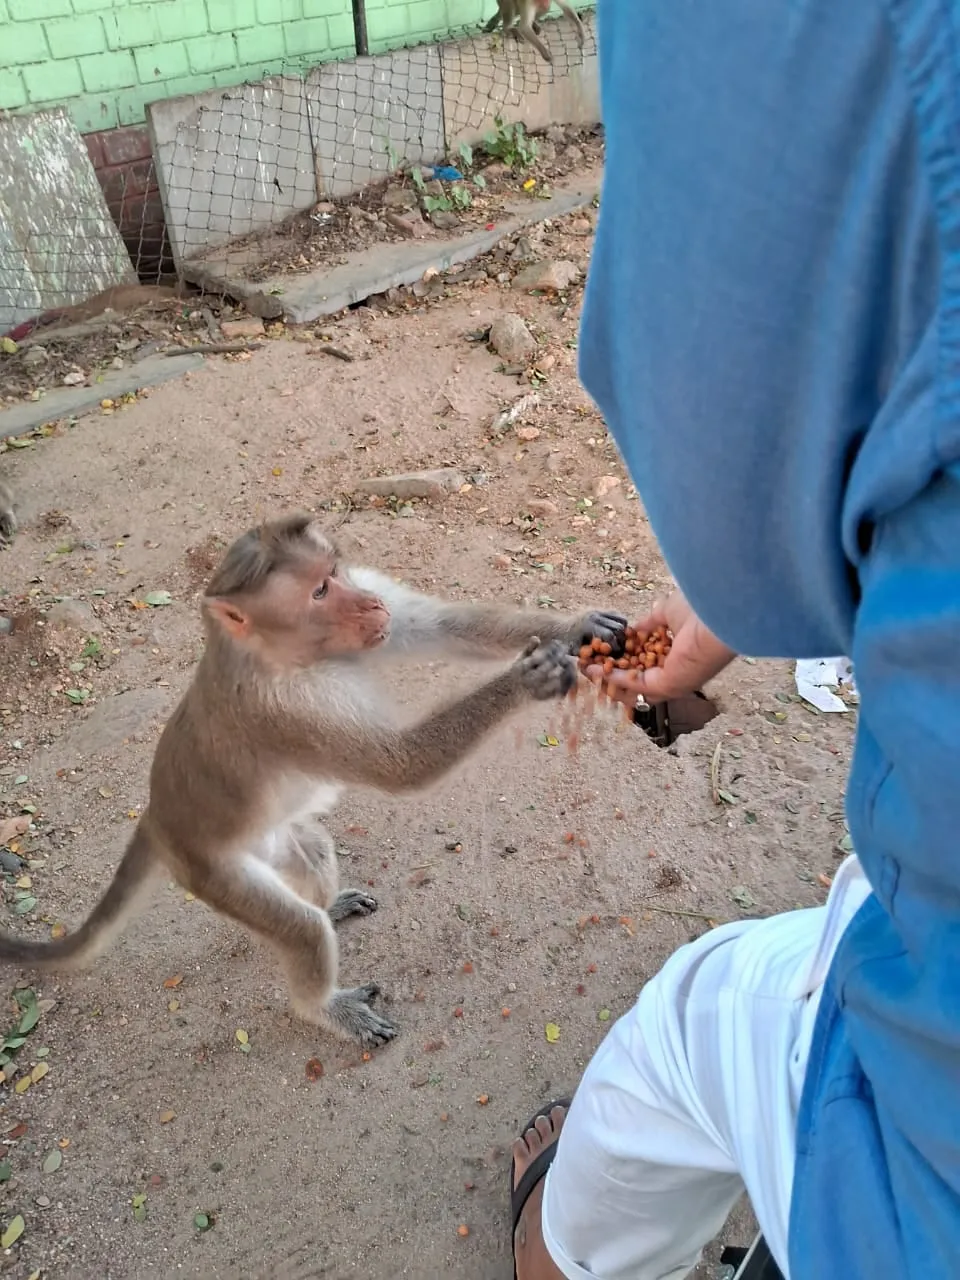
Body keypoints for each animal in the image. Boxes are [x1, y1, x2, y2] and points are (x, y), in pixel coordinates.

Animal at [0, 514, 625, 1048]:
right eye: (319, 593)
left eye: (336, 573)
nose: (369, 602)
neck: (278, 656)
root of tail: (157, 813)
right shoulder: (290, 711)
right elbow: (401, 765)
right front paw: (528, 680)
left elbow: (445, 628)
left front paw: (577, 626)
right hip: (210, 871)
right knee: (298, 929)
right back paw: (324, 1006)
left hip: (273, 845)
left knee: (314, 850)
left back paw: (330, 904)